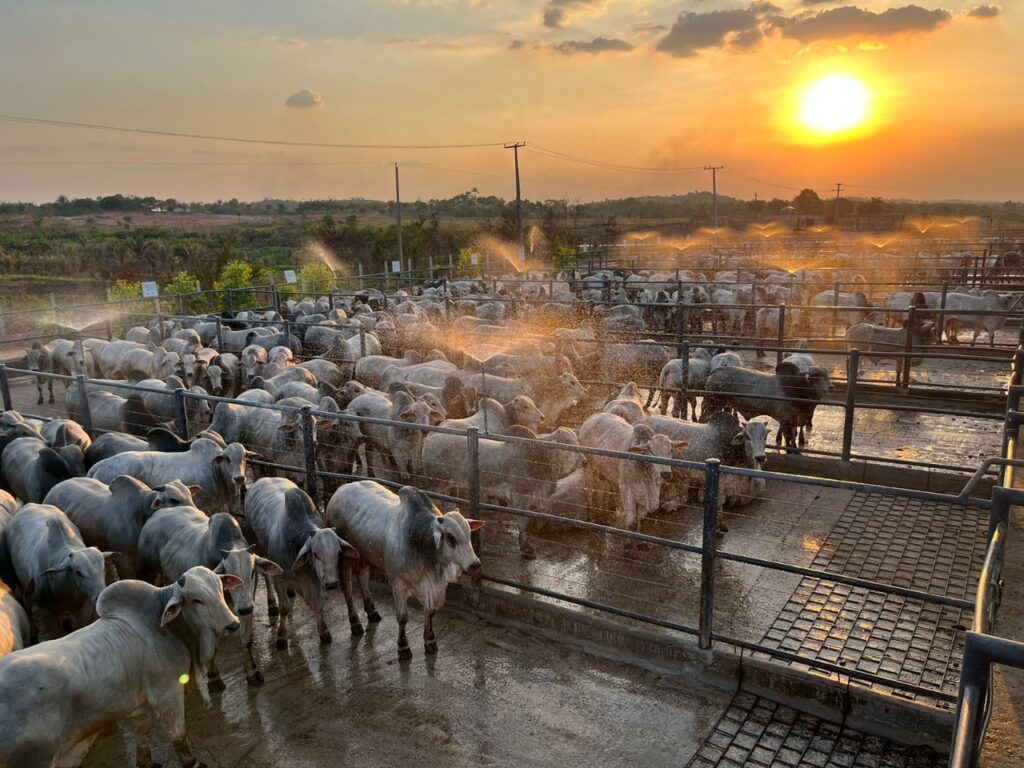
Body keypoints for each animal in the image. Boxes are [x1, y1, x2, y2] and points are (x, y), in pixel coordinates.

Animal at [329, 483, 485, 659]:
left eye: (469, 534)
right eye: (451, 538)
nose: (475, 564)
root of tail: (339, 490)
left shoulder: (433, 588)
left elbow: (430, 612)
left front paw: (430, 641)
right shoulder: (397, 584)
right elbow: (403, 617)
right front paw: (403, 647)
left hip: (363, 556)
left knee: (363, 579)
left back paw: (372, 612)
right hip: (344, 559)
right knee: (347, 590)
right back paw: (355, 623)